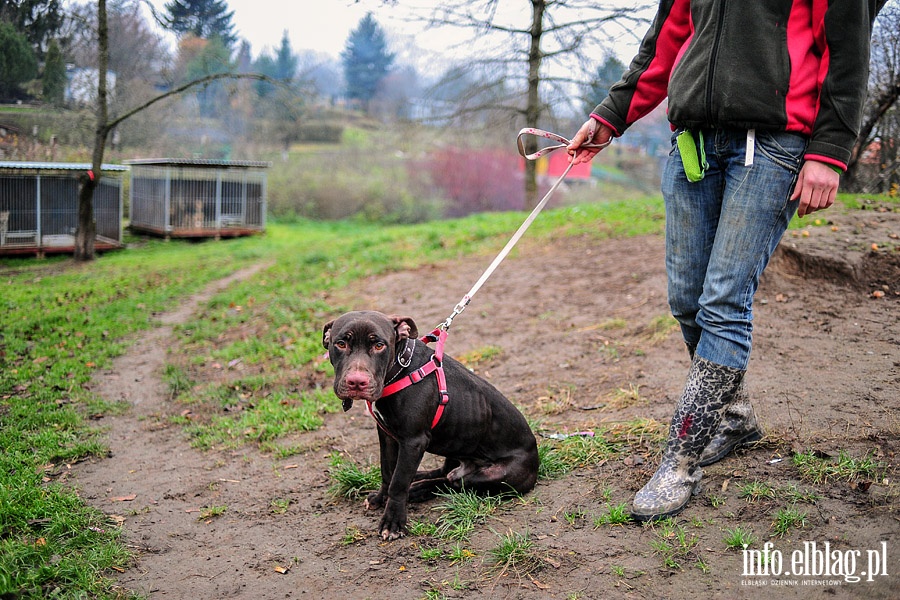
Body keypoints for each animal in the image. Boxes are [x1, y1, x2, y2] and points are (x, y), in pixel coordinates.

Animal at [322, 312, 536, 540]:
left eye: (379, 345)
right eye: (341, 344)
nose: (356, 382)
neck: (400, 367)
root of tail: (536, 457)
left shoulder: (413, 442)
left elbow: (398, 482)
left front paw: (393, 521)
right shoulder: (387, 435)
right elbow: (387, 471)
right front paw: (381, 499)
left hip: (494, 476)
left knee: (454, 482)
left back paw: (418, 489)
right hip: (455, 446)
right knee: (445, 472)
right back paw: (419, 479)